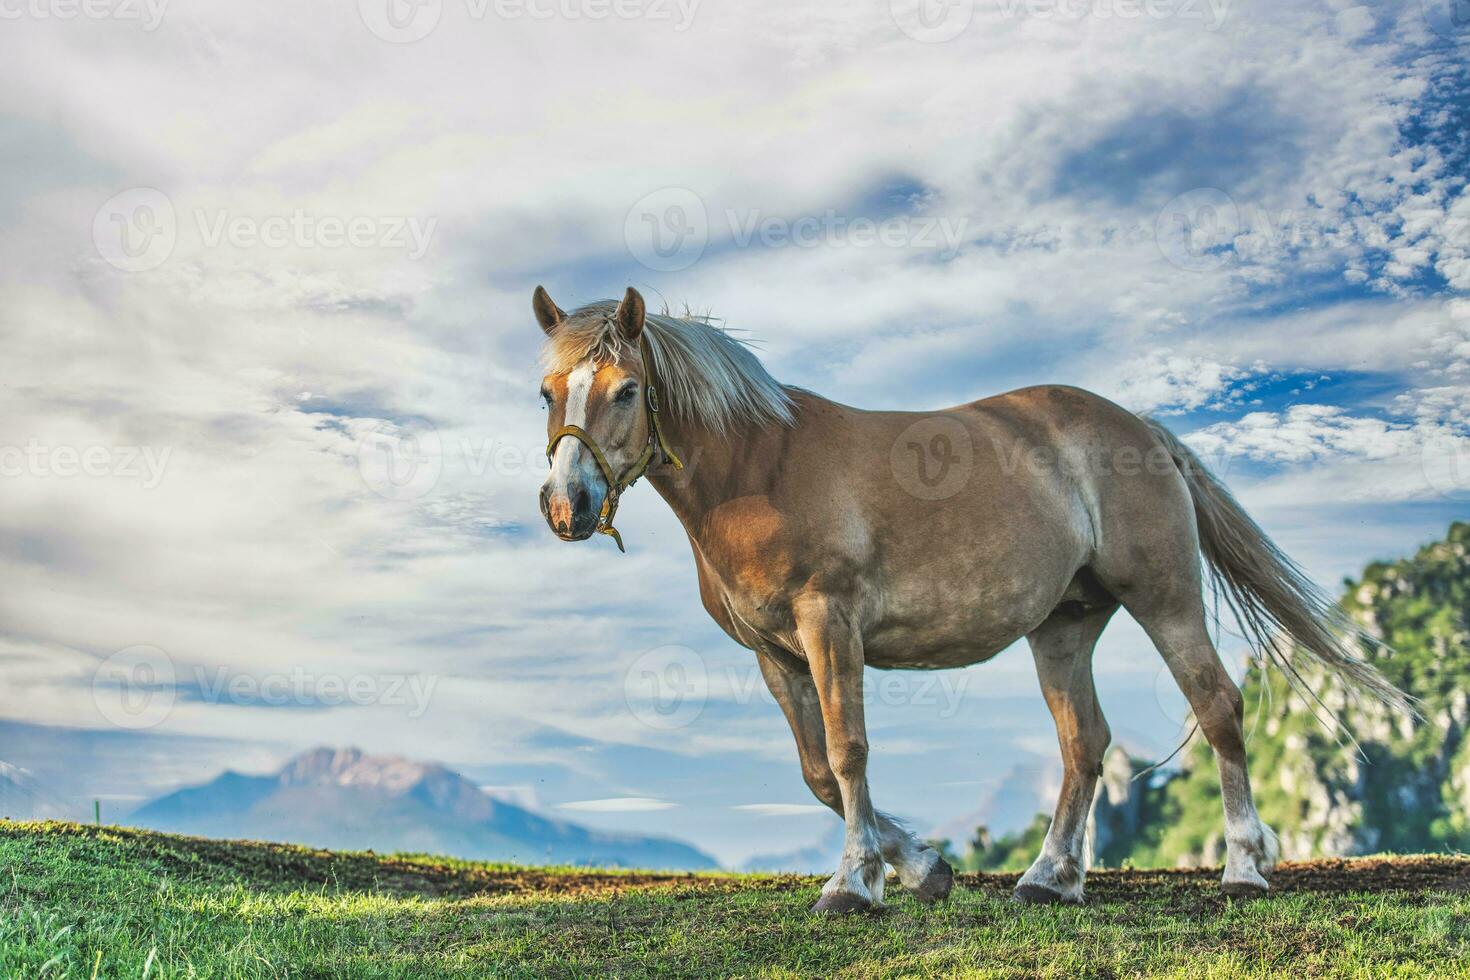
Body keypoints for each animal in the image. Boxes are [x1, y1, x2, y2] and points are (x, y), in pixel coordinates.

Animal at [535, 287, 1405, 916]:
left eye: (628, 389)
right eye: (548, 392)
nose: (567, 506)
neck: (760, 467)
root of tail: (1143, 431)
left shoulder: (830, 625)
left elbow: (849, 754)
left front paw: (854, 884)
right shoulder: (775, 654)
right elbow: (818, 773)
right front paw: (922, 868)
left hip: (1166, 600)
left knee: (1218, 706)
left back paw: (1244, 868)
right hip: (1064, 627)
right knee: (1084, 744)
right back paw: (1051, 878)